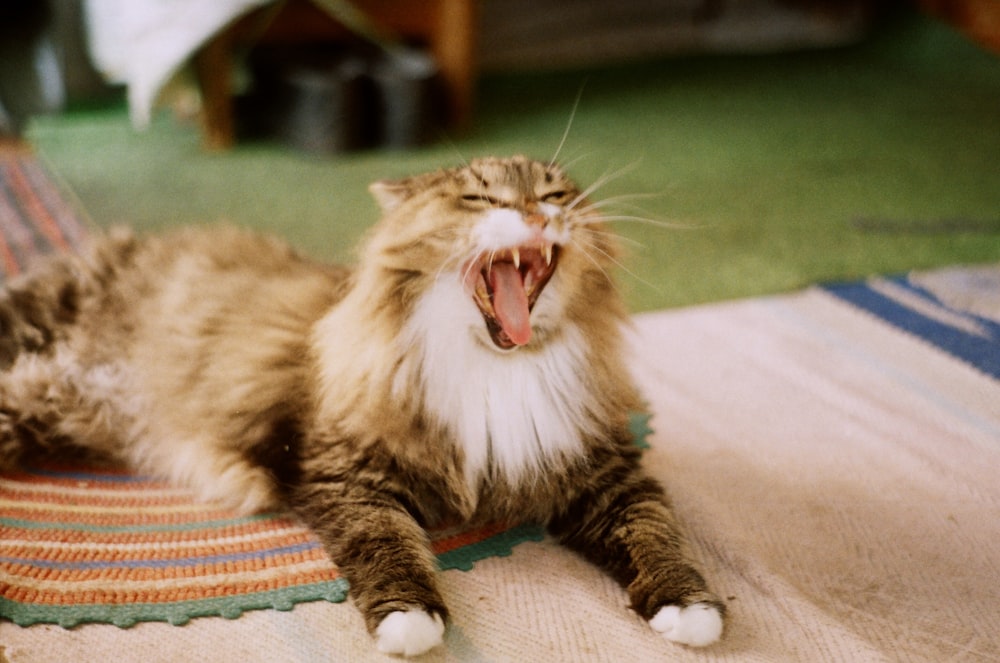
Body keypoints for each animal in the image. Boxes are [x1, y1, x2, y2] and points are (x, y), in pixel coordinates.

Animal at [0, 157, 724, 660]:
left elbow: (657, 534)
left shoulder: (604, 471)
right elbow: (386, 542)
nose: (542, 216)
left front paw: (693, 610)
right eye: (482, 198)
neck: (496, 365)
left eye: (556, 195)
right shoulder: (345, 469)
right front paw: (411, 620)